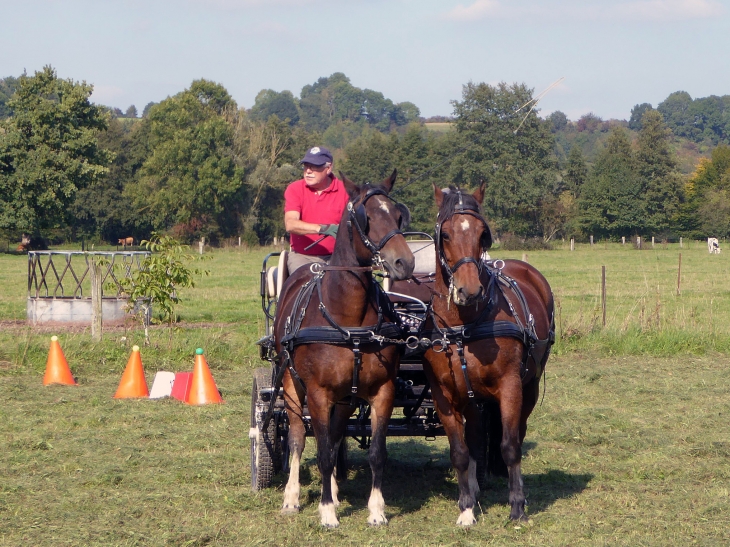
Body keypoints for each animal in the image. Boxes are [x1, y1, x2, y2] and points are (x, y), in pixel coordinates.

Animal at [272, 170, 412, 528]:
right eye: (365, 217)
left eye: (398, 214)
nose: (404, 262)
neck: (349, 317)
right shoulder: (318, 393)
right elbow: (320, 452)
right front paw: (326, 513)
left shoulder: (382, 391)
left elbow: (375, 453)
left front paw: (376, 510)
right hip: (291, 383)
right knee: (297, 437)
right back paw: (292, 497)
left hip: (345, 398)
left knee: (335, 436)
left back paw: (333, 491)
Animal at [420, 185, 552, 528]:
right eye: (446, 234)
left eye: (483, 234)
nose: (470, 291)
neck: (464, 324)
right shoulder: (443, 394)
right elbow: (460, 450)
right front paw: (466, 507)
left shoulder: (510, 386)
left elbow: (510, 445)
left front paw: (517, 507)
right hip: (472, 394)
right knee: (476, 437)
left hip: (529, 385)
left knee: (516, 432)